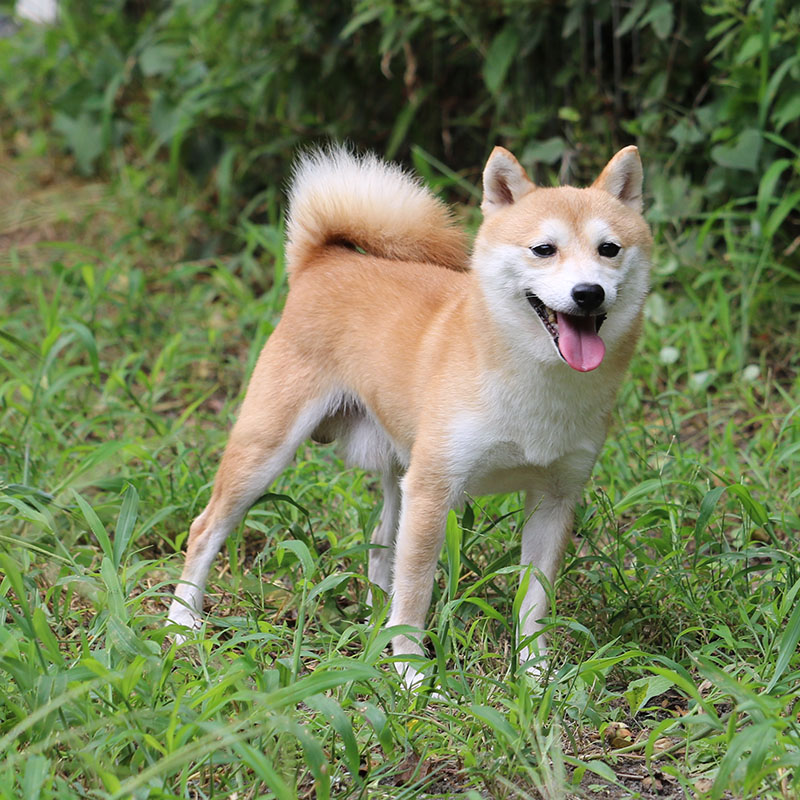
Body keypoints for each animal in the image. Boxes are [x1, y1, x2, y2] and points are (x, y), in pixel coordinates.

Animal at [167, 142, 648, 680]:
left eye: (609, 249)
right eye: (544, 249)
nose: (588, 293)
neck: (538, 385)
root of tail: (324, 260)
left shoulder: (555, 497)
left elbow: (534, 603)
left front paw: (535, 675)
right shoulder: (434, 491)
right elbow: (415, 594)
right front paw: (413, 676)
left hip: (398, 472)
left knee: (381, 544)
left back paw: (374, 619)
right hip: (267, 452)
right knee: (205, 529)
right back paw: (182, 621)